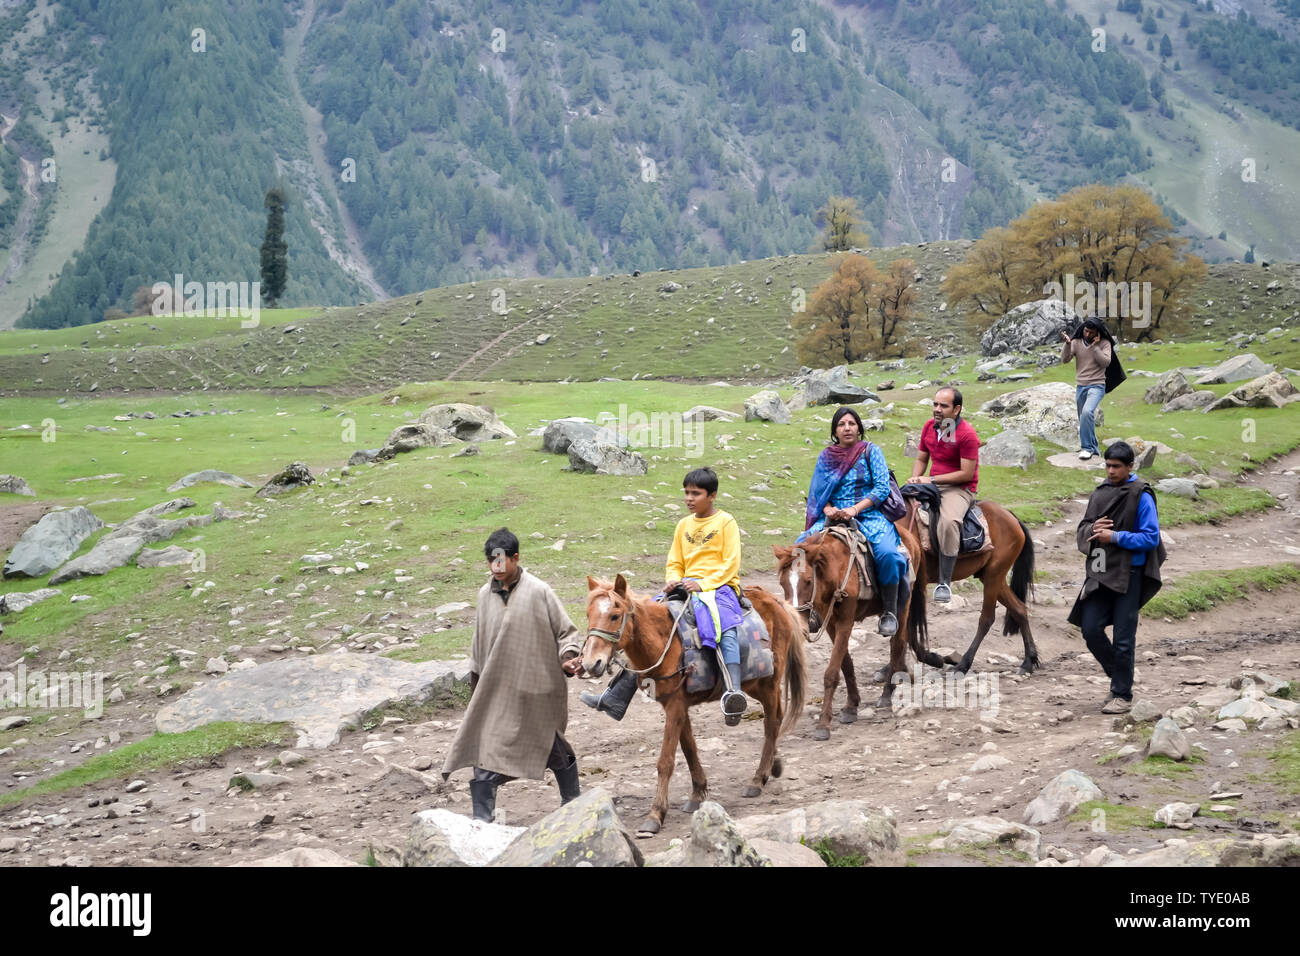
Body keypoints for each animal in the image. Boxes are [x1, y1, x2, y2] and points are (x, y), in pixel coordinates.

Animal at [585, 574, 806, 837]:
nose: (591, 663)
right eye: (588, 614)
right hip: (756, 685)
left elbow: (666, 761)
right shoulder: (677, 705)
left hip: (769, 683)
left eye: (615, 615)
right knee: (777, 718)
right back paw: (775, 765)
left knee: (772, 723)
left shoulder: (675, 706)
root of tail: (777, 602)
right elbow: (689, 748)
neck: (665, 643)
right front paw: (698, 793)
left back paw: (758, 779)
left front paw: (655, 814)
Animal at [769, 520, 935, 738]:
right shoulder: (831, 623)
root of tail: (911, 538)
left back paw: (887, 694)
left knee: (897, 645)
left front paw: (823, 724)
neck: (836, 570)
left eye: (808, 581)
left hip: (903, 606)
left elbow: (831, 672)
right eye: (782, 583)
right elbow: (846, 663)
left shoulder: (846, 621)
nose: (797, 621)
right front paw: (851, 706)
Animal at [904, 496, 1045, 676]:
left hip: (994, 575)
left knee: (987, 619)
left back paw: (963, 664)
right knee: (1019, 609)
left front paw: (932, 658)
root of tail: (1011, 517)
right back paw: (1028, 661)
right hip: (992, 576)